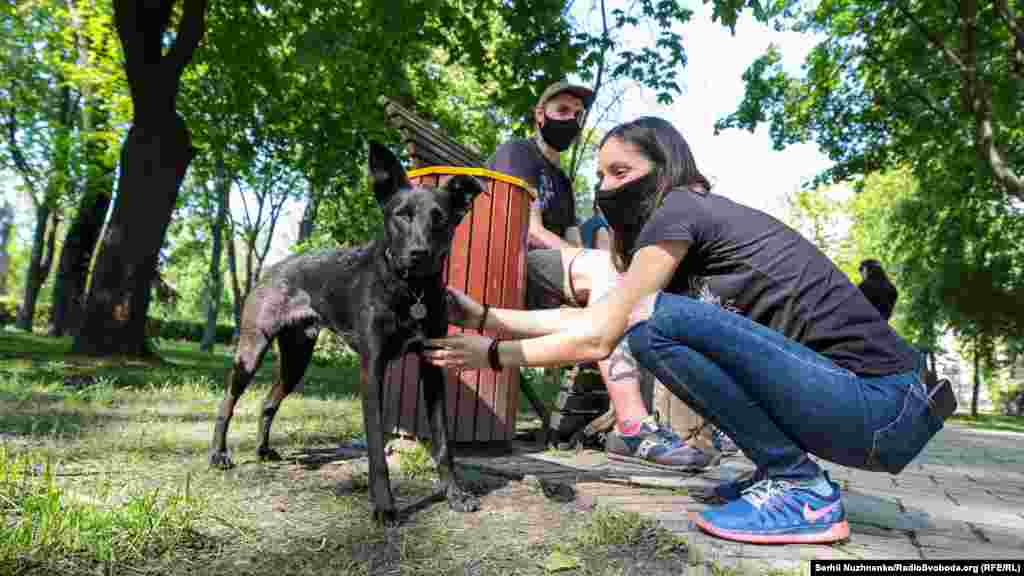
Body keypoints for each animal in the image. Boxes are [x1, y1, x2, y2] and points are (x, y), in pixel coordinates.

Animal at [207, 140, 483, 520]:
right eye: (402, 214)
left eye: (440, 218)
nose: (419, 253)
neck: (409, 290)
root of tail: (273, 268)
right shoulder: (372, 372)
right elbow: (377, 451)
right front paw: (384, 506)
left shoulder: (433, 369)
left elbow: (443, 442)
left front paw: (455, 494)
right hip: (251, 352)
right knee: (227, 402)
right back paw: (218, 455)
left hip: (296, 360)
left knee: (267, 402)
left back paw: (263, 451)